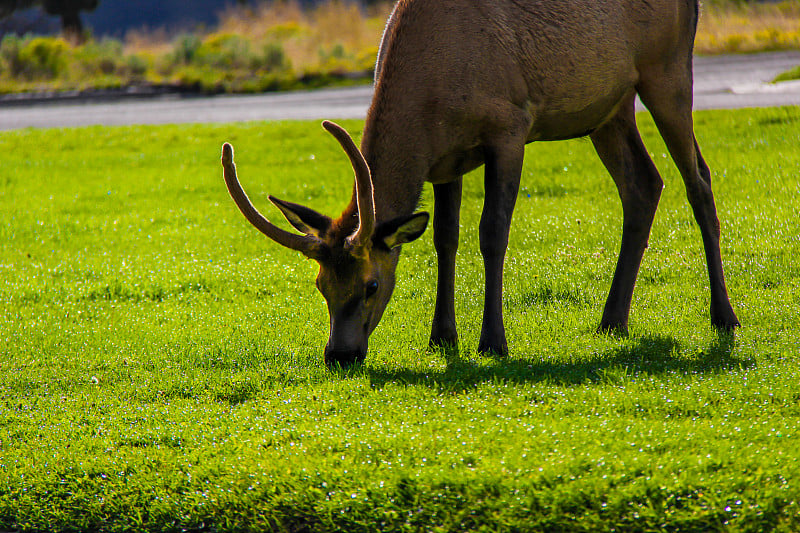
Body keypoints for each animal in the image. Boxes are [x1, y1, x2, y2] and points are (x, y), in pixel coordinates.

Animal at [219, 0, 736, 368]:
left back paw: (723, 316)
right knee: (644, 185)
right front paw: (442, 337)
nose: (339, 356)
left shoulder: (510, 127)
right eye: (321, 285)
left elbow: (492, 233)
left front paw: (493, 341)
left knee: (699, 179)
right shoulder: (445, 162)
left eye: (370, 285)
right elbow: (444, 239)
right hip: (608, 107)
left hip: (668, 70)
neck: (429, 101)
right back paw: (611, 321)